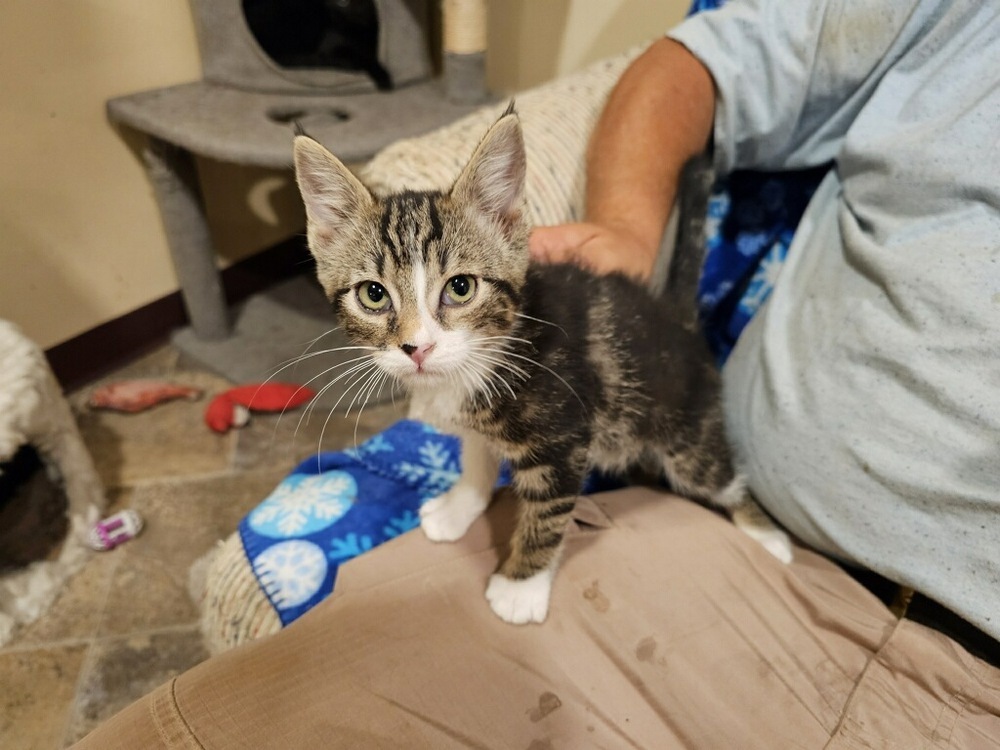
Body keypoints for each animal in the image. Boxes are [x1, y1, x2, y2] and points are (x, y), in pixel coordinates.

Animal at [292, 108, 792, 624]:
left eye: (461, 287)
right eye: (373, 295)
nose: (417, 348)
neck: (490, 356)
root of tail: (677, 317)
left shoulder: (562, 443)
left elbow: (547, 515)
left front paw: (520, 587)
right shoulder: (479, 425)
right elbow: (476, 458)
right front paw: (459, 509)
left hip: (688, 437)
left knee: (723, 477)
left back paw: (770, 538)